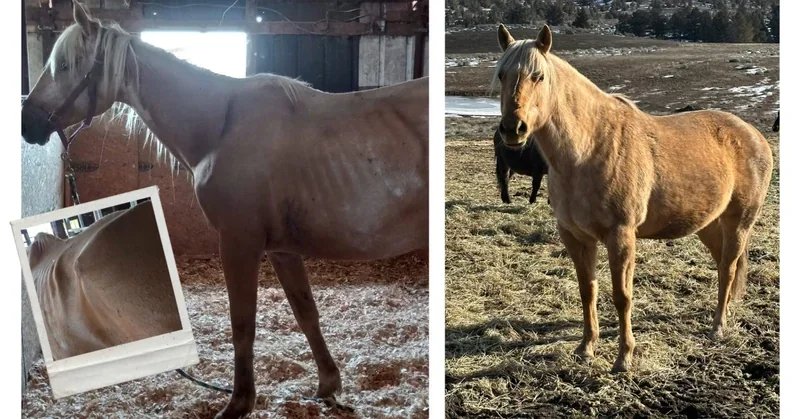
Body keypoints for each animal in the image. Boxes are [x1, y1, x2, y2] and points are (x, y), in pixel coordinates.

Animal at [492, 24, 772, 372]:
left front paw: (624, 357)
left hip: (738, 223)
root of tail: (753, 134)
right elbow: (587, 291)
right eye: (501, 74)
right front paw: (586, 348)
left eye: (538, 76)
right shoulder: (575, 236)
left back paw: (718, 326)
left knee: (730, 268)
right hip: (709, 224)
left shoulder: (621, 235)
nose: (512, 129)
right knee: (723, 265)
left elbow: (622, 296)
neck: (588, 148)